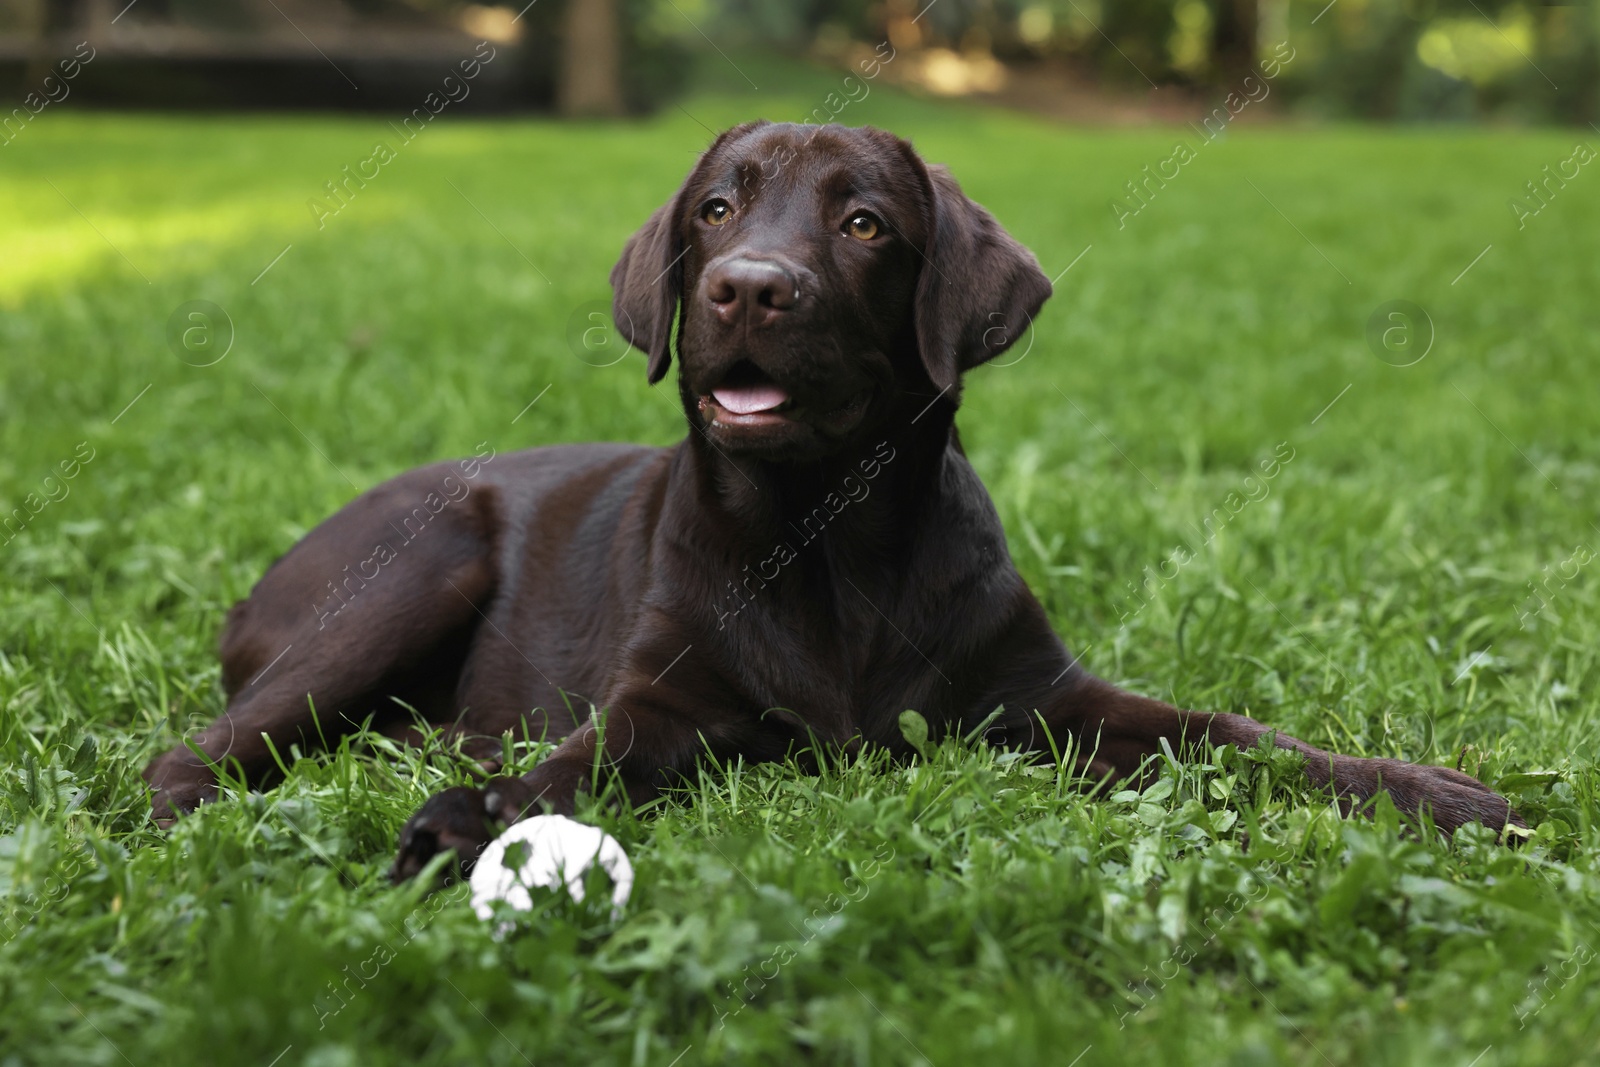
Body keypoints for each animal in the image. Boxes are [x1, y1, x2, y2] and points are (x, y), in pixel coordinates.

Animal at [140, 120, 1523, 883]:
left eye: (862, 223)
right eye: (715, 209)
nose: (749, 286)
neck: (826, 534)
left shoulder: (1039, 698)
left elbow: (1229, 732)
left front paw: (1432, 791)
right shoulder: (663, 704)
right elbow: (572, 763)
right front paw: (469, 826)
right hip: (420, 565)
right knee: (188, 752)